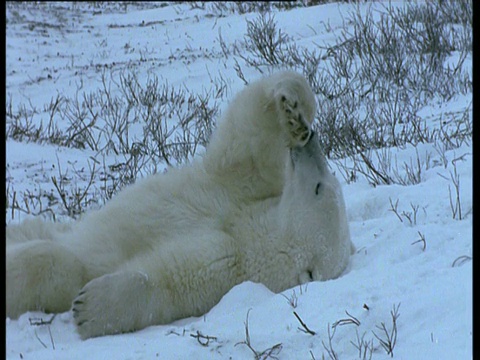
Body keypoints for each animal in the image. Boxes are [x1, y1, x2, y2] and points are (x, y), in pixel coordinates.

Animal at [5, 71, 354, 338]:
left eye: (320, 187)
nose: (312, 143)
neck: (244, 229)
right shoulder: (238, 192)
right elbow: (246, 143)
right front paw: (293, 109)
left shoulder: (226, 262)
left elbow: (167, 280)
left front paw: (90, 307)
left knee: (55, 262)